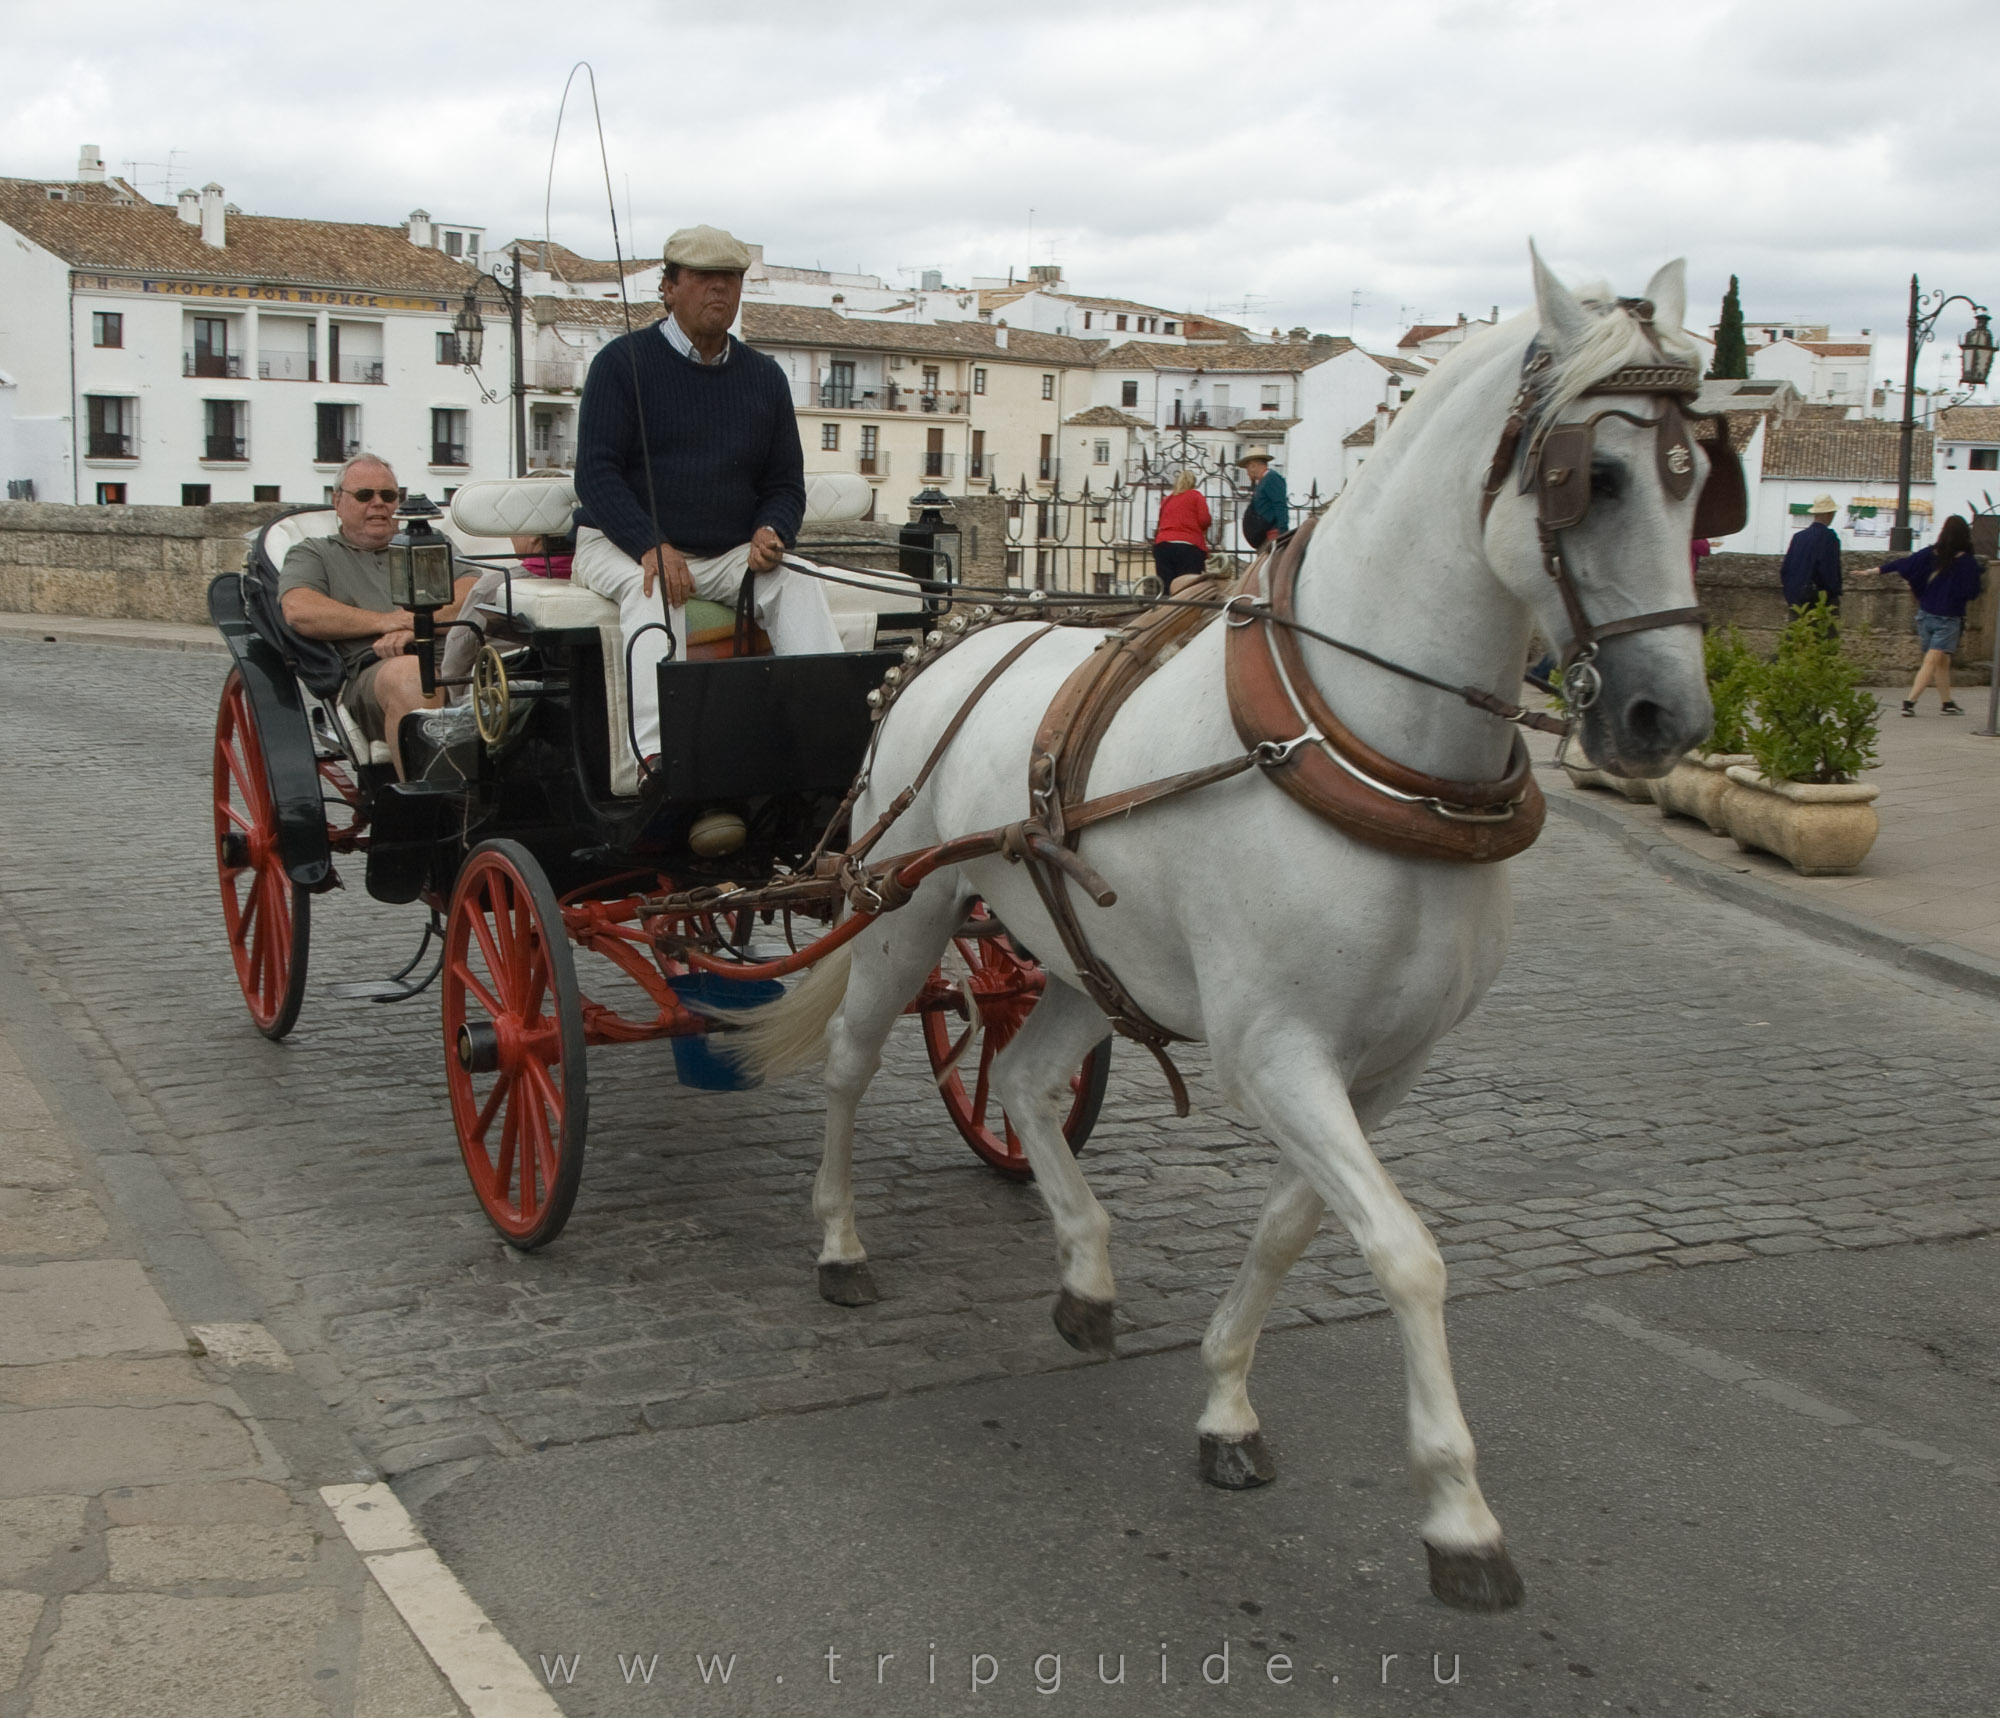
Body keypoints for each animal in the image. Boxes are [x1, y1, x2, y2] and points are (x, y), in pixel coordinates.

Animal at [744, 252, 1712, 1616]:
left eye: (1699, 475)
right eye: (1597, 475)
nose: (1662, 717)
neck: (1352, 746)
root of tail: (953, 641)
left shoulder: (1384, 1064)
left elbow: (1295, 1225)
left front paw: (1224, 1402)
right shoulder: (1277, 1053)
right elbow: (1406, 1253)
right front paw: (1456, 1511)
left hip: (1080, 952)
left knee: (1025, 1080)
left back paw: (1085, 1272)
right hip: (907, 902)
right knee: (847, 1064)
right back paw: (837, 1241)